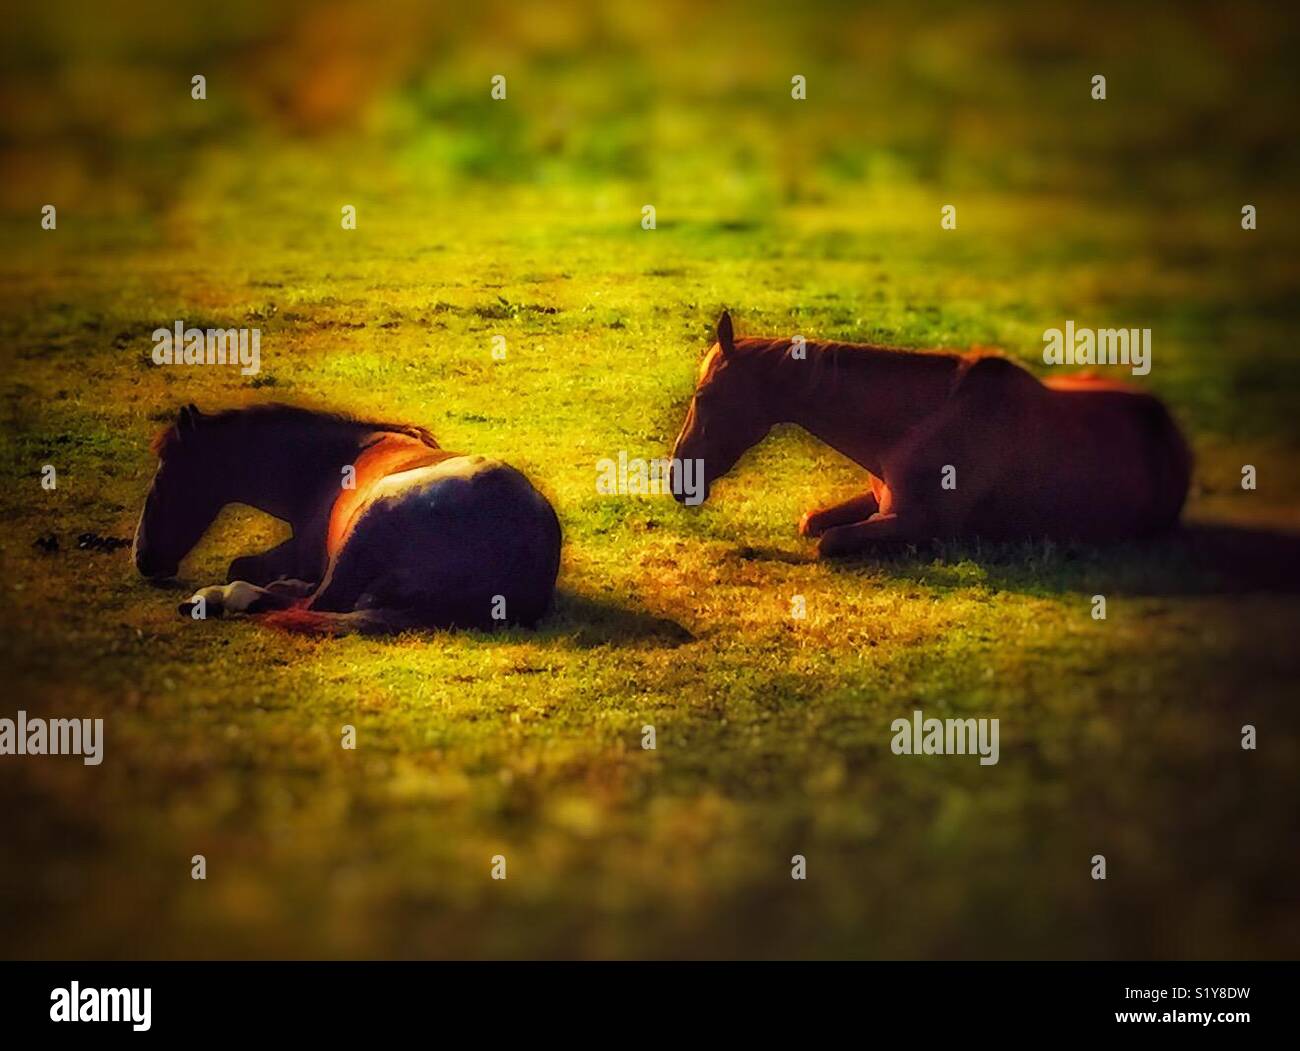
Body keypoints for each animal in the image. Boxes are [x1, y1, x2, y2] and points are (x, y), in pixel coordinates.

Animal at [133, 403, 562, 632]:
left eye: (165, 475)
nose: (142, 559)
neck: (333, 462)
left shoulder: (306, 552)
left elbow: (241, 565)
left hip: (368, 521)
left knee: (315, 603)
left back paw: (221, 598)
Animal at [670, 312, 1192, 557]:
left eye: (705, 395)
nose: (679, 479)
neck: (917, 424)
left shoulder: (918, 524)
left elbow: (830, 540)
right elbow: (813, 521)